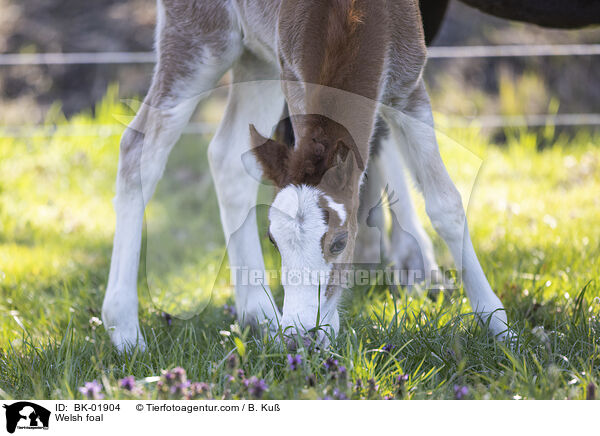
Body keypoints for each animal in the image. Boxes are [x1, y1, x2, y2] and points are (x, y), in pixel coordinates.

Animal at [102, 0, 506, 350]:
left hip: (256, 57)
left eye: (340, 243)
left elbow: (445, 204)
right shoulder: (293, 77)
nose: (299, 338)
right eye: (273, 241)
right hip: (200, 38)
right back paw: (124, 330)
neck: (352, 17)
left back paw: (260, 315)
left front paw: (500, 327)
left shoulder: (408, 86)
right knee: (139, 148)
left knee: (226, 156)